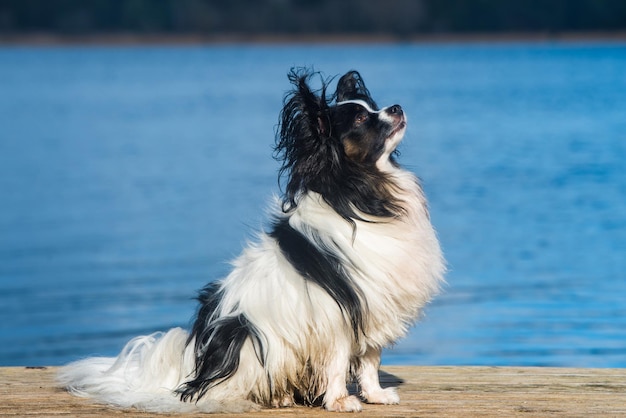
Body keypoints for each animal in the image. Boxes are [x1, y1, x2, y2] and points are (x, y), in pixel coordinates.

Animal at [58, 68, 444, 412]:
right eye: (363, 119)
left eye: (373, 105)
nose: (396, 107)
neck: (362, 192)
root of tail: (193, 367)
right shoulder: (338, 314)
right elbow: (338, 363)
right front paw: (339, 401)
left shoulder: (374, 303)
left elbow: (369, 361)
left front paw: (375, 395)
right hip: (249, 338)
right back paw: (277, 397)